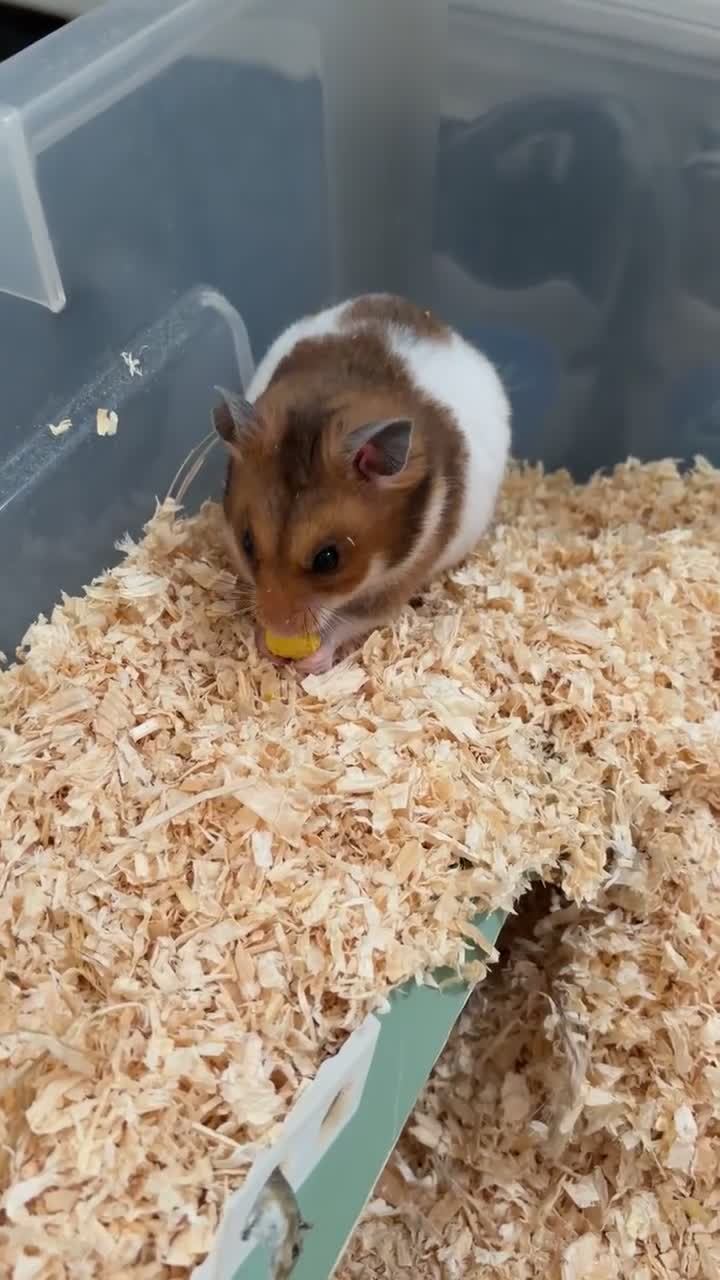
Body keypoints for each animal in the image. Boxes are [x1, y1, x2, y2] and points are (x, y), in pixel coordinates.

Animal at [212, 293, 511, 674]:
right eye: (247, 542)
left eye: (328, 559)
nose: (280, 627)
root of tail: (439, 322)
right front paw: (264, 644)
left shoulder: (397, 585)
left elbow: (352, 621)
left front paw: (312, 659)